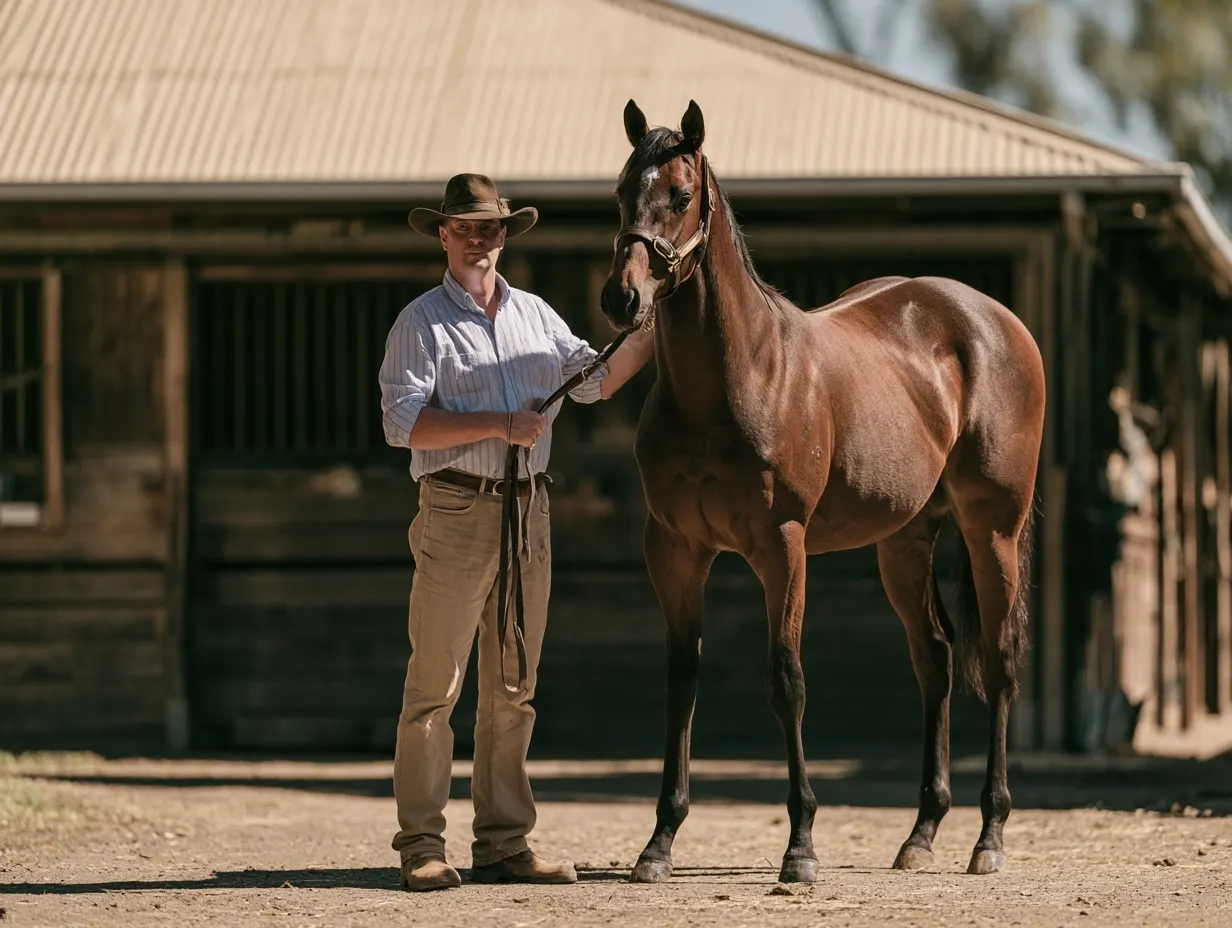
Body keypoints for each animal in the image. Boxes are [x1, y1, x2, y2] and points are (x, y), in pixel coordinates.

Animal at [598, 99, 1046, 884]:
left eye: (680, 196)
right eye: (622, 192)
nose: (622, 299)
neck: (738, 377)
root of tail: (998, 323)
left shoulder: (783, 545)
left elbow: (788, 680)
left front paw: (801, 844)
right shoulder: (676, 549)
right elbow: (682, 681)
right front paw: (659, 841)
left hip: (992, 529)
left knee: (997, 662)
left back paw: (988, 837)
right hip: (905, 542)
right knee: (934, 659)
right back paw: (921, 834)